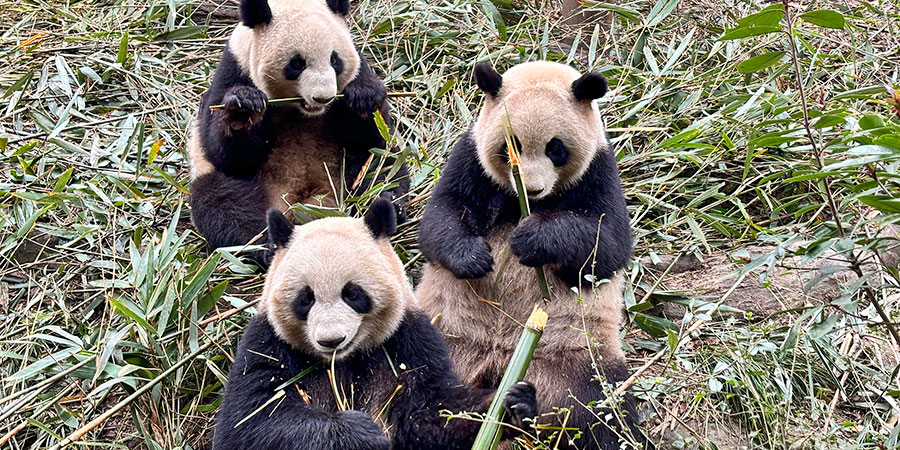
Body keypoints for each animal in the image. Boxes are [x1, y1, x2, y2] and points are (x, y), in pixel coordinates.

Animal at [188, 0, 408, 261]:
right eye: (296, 63)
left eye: (335, 60)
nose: (323, 97)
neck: (300, 110)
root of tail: (304, 207)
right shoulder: (234, 70)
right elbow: (225, 153)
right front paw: (244, 107)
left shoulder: (358, 68)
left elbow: (369, 134)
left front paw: (364, 97)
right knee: (223, 203)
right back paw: (267, 243)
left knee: (380, 167)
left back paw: (387, 203)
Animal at [213, 198, 539, 450]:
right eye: (306, 298)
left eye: (352, 293)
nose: (331, 341)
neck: (344, 361)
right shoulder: (267, 343)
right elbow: (250, 422)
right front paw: (359, 432)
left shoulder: (408, 339)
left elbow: (430, 413)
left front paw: (514, 405)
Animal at [415, 61, 642, 448]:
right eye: (512, 146)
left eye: (556, 148)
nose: (533, 189)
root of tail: (500, 365)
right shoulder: (470, 156)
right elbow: (440, 216)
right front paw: (473, 257)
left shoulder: (600, 170)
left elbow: (607, 245)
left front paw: (532, 238)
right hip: (444, 335)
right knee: (418, 391)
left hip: (573, 356)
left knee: (601, 409)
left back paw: (524, 407)